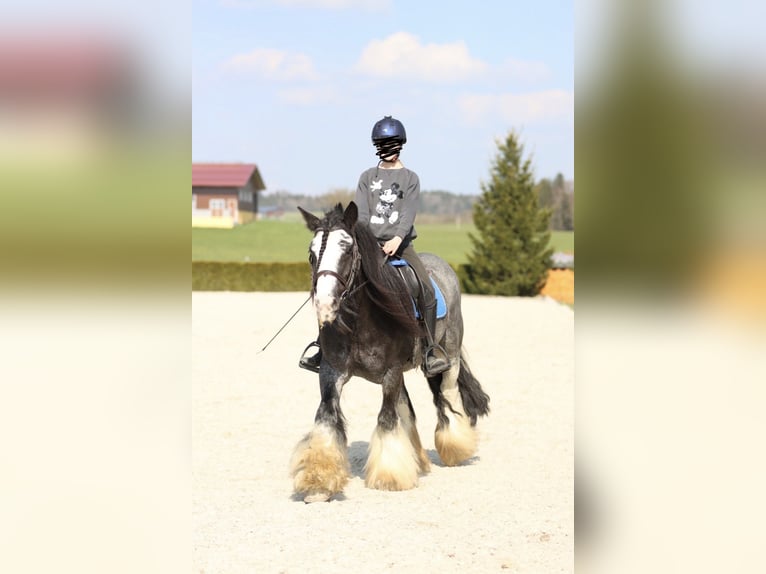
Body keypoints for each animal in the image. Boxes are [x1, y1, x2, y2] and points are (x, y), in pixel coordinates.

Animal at [290, 202, 490, 502]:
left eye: (347, 250)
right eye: (312, 254)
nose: (325, 304)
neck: (361, 319)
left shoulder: (391, 371)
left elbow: (386, 418)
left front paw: (389, 477)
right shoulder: (331, 372)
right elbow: (326, 419)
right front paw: (318, 483)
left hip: (449, 355)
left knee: (446, 394)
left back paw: (455, 446)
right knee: (407, 410)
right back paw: (418, 460)